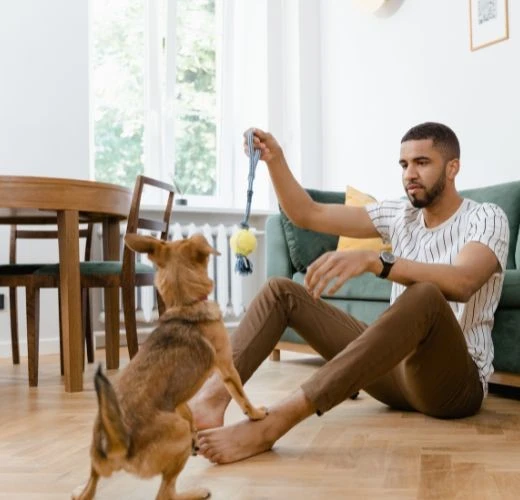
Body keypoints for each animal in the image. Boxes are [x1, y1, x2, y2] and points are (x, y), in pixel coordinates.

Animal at [72, 233, 268, 500]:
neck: (185, 305)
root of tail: (118, 443)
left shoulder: (180, 397)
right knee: (165, 493)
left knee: (88, 490)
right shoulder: (227, 367)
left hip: (95, 467)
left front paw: (197, 429)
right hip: (178, 434)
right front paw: (256, 414)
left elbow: (189, 411)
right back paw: (196, 492)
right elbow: (241, 397)